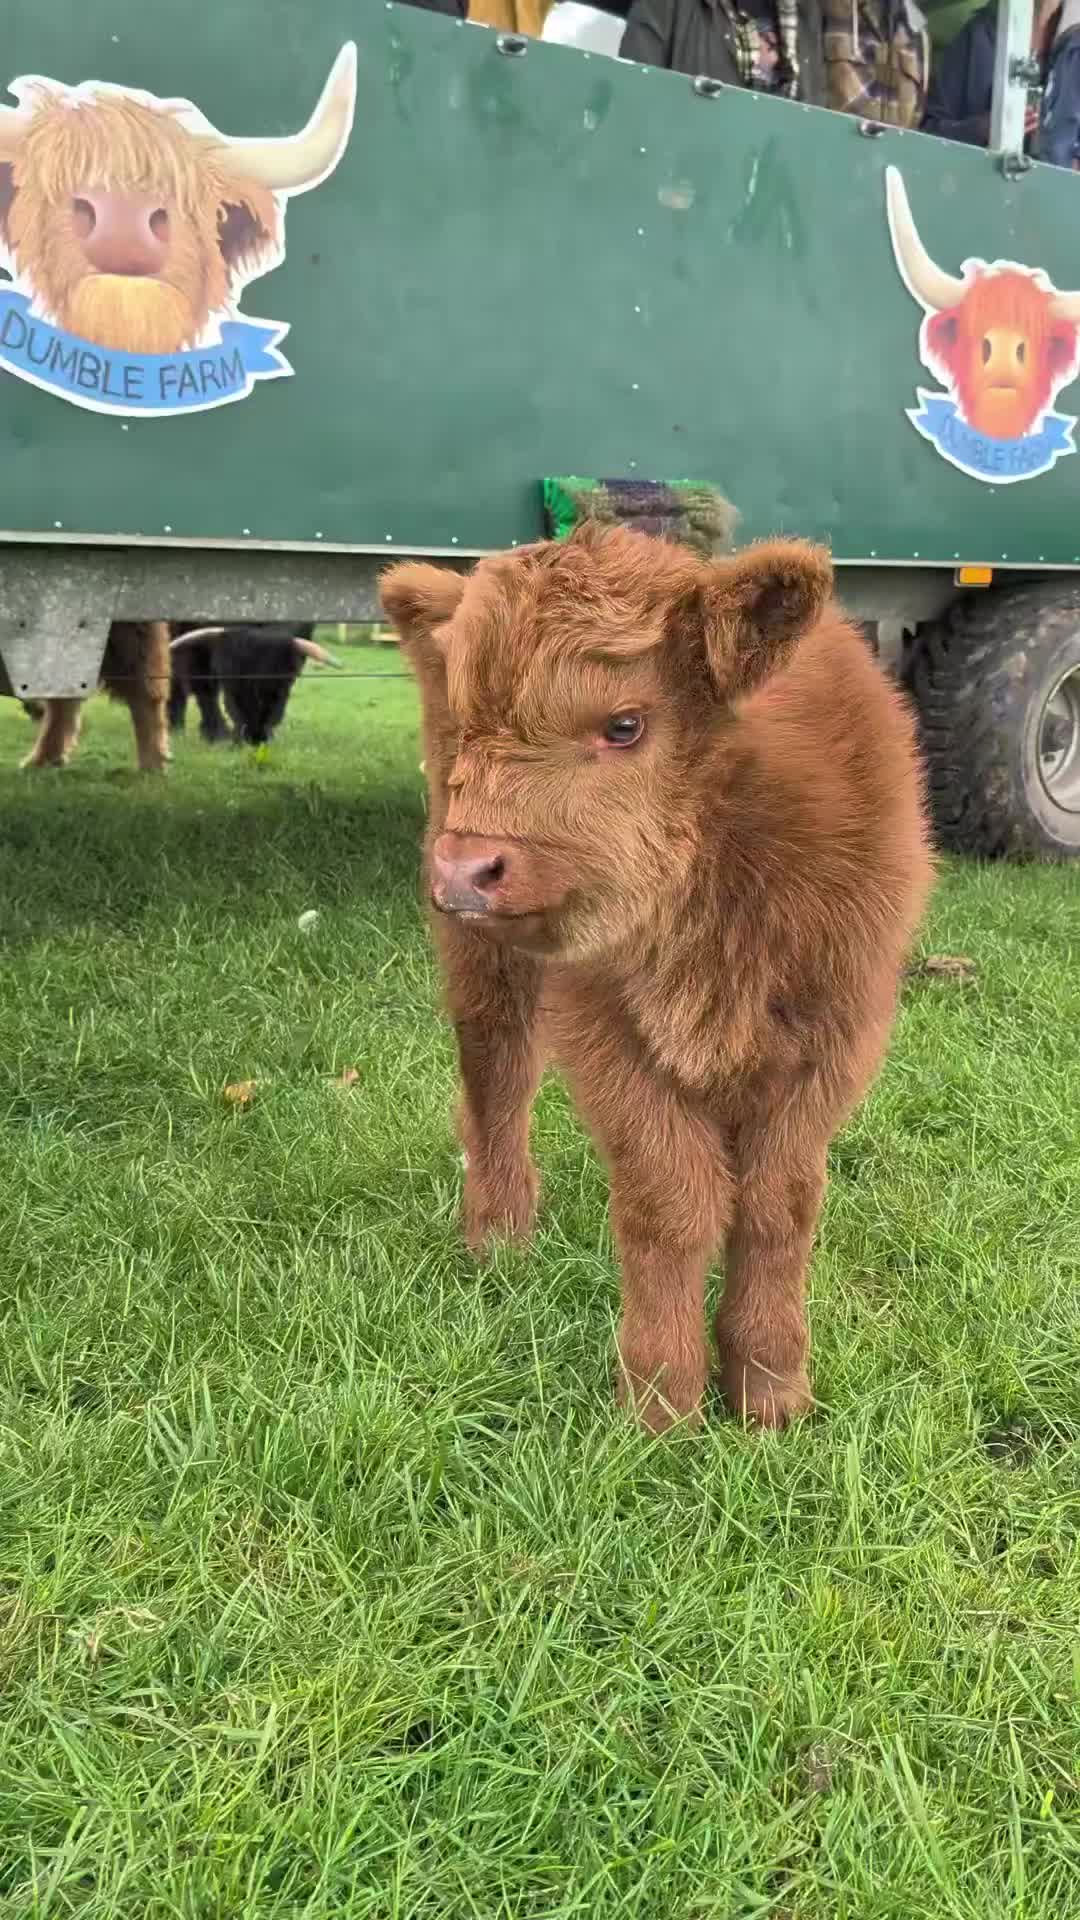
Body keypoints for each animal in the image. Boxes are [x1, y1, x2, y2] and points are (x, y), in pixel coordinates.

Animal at [382, 528, 932, 1434]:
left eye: (625, 724)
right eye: (471, 724)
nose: (465, 872)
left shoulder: (837, 1032)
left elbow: (779, 1205)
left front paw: (771, 1389)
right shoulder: (604, 1028)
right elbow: (670, 1201)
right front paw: (659, 1402)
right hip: (483, 957)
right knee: (496, 1074)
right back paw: (499, 1237)